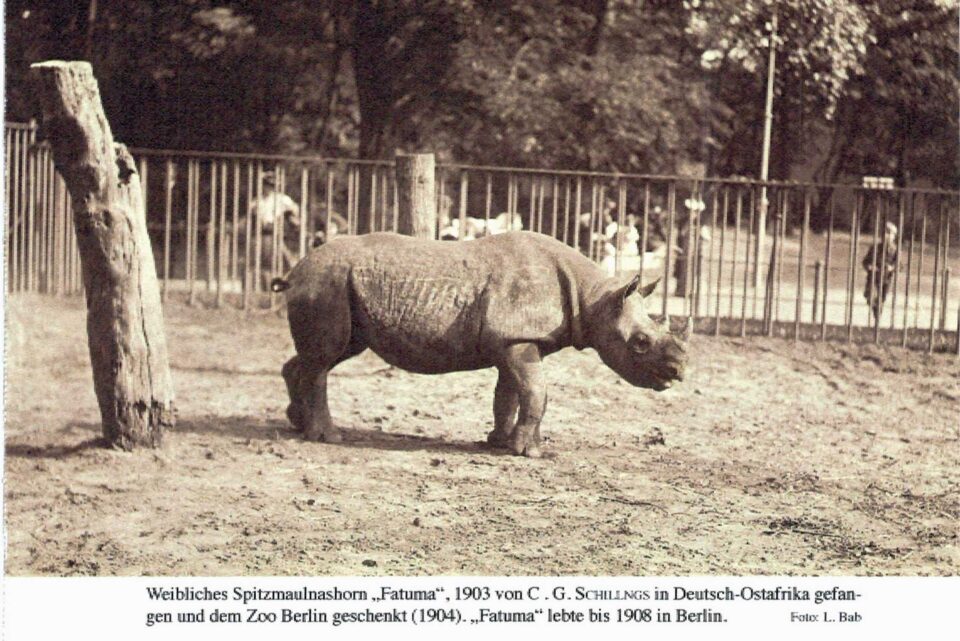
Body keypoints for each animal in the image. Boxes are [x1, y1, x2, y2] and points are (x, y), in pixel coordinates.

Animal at [273, 231, 688, 457]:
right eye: (640, 343)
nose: (679, 372)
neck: (595, 298)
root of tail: (295, 269)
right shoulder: (517, 338)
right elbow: (535, 391)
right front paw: (527, 452)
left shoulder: (512, 341)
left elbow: (508, 394)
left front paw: (501, 443)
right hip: (326, 282)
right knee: (325, 358)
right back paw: (328, 436)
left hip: (334, 286)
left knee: (324, 354)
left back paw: (298, 423)